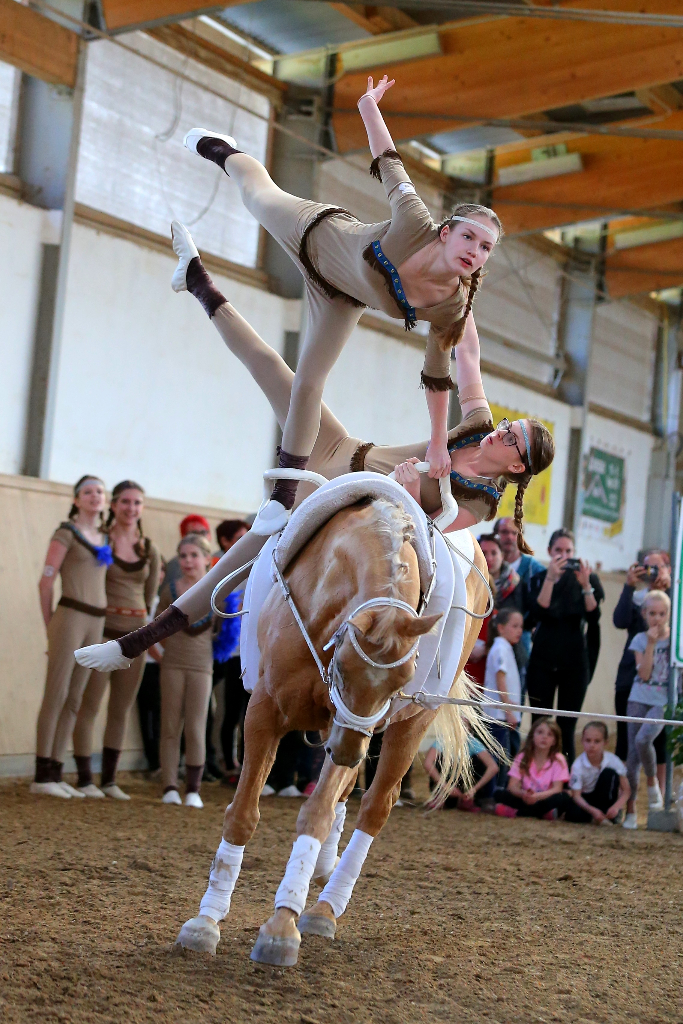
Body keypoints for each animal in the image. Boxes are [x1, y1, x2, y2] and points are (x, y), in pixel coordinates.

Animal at [175, 495, 485, 966]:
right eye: (342, 665)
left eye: (402, 680)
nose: (351, 751)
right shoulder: (264, 711)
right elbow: (243, 814)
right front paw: (204, 922)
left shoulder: (359, 724)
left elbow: (317, 813)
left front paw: (281, 928)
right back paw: (322, 870)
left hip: (409, 724)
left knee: (375, 804)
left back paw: (324, 906)